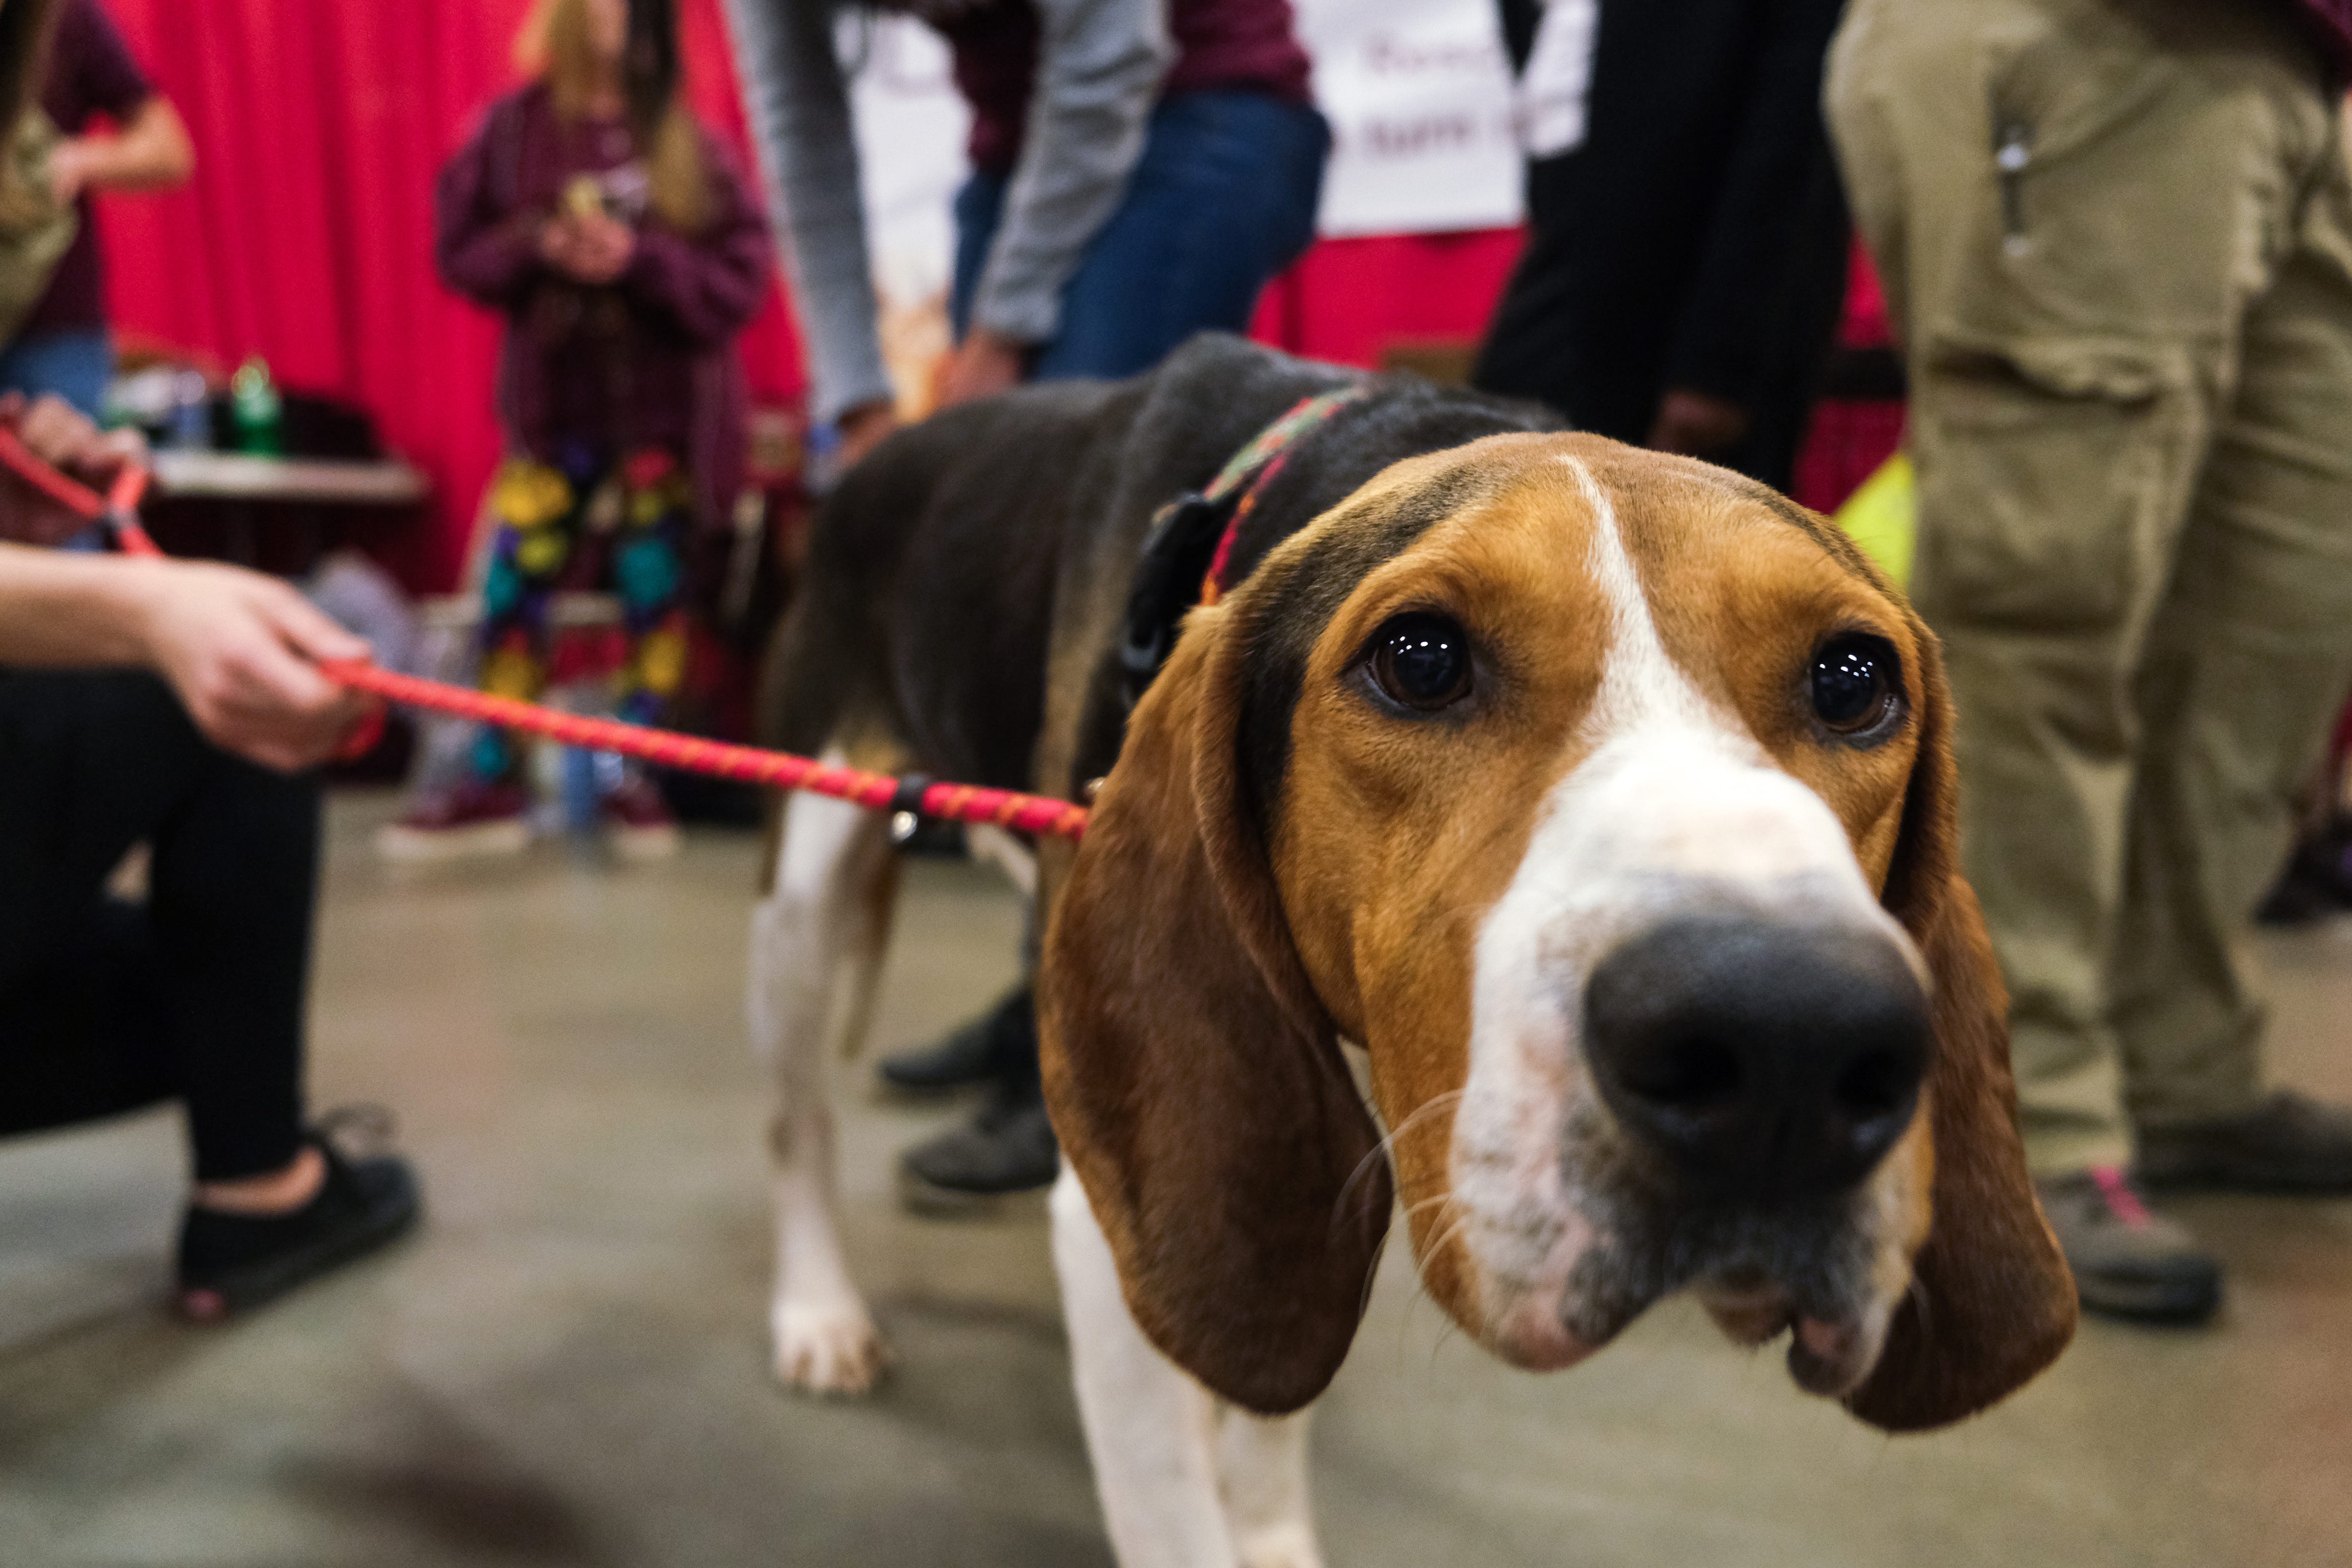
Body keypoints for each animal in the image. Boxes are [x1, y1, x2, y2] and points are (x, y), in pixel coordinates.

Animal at [743, 333, 2069, 1568]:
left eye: (1854, 678)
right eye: (1420, 659)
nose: (1790, 1037)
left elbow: (1269, 1401)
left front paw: (1271, 1527)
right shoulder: (1124, 1234)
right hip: (802, 888)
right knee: (796, 1123)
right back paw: (819, 1315)